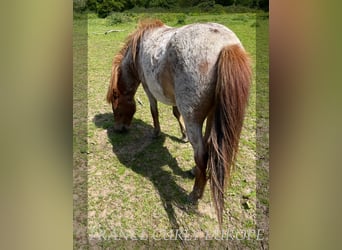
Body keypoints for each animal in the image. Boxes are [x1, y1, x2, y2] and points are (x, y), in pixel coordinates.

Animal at [105, 19, 252, 227]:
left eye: (116, 108)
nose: (119, 129)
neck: (138, 48)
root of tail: (226, 45)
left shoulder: (148, 89)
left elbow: (154, 111)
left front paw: (156, 133)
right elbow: (175, 113)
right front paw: (182, 136)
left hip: (194, 119)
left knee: (202, 154)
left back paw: (195, 193)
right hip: (211, 115)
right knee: (208, 147)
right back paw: (195, 172)